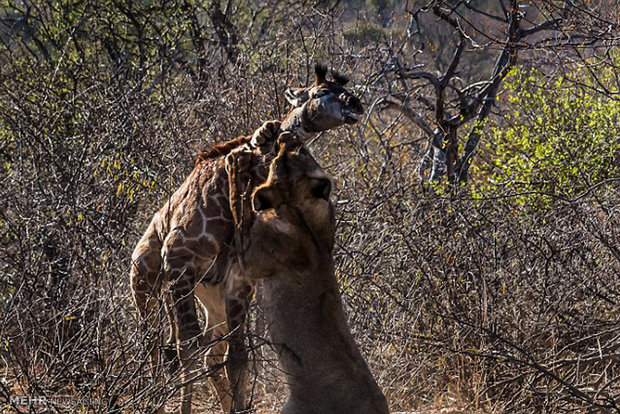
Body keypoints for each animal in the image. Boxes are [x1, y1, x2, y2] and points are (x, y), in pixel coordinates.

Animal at [130, 64, 364, 414]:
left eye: (343, 89)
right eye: (322, 92)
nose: (357, 105)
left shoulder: (237, 281)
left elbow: (236, 357)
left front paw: (238, 407)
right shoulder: (179, 260)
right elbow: (187, 348)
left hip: (210, 300)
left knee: (208, 353)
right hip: (146, 285)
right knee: (156, 345)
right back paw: (154, 399)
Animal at [235, 133, 390, 414]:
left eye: (282, 159)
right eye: (303, 152)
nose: (286, 137)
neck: (298, 209)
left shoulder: (253, 258)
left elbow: (242, 211)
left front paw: (237, 168)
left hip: (292, 408)